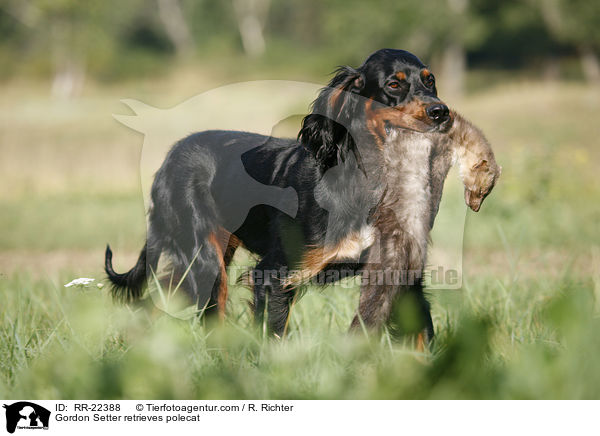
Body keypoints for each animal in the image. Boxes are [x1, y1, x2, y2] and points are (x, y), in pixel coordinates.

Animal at [104, 46, 502, 340]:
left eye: (430, 81)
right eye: (393, 84)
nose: (440, 112)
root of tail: (170, 158)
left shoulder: (401, 273)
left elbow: (423, 336)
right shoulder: (274, 275)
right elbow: (273, 336)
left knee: (157, 301)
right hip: (205, 259)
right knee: (208, 313)